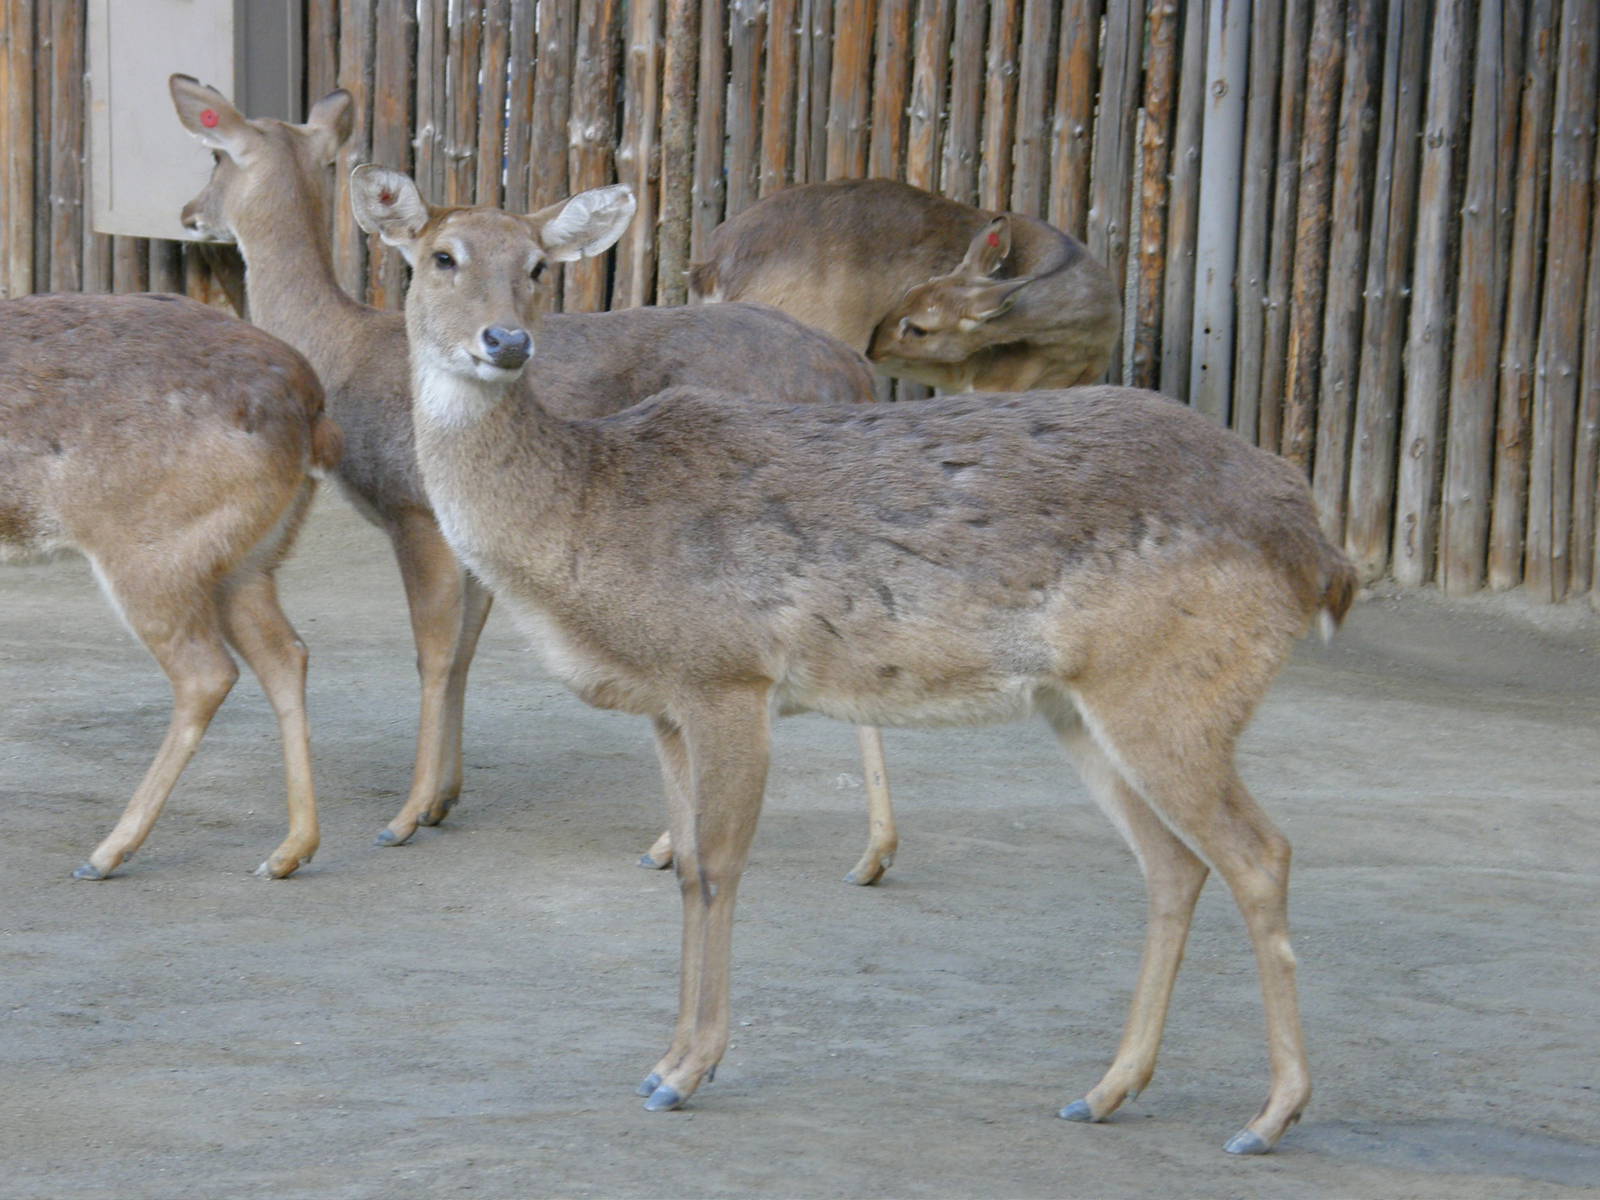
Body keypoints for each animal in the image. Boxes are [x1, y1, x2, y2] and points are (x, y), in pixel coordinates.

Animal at [0, 292, 341, 879]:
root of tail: (313, 417)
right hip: (248, 561)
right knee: (285, 653)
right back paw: (288, 852)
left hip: (154, 556)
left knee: (207, 671)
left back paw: (105, 854)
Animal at [168, 75, 892, 872]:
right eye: (444, 258)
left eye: (216, 155)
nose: (189, 212)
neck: (343, 350)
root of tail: (857, 374)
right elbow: (464, 653)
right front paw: (444, 799)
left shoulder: (412, 508)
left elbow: (432, 652)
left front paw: (403, 816)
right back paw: (873, 853)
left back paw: (672, 845)